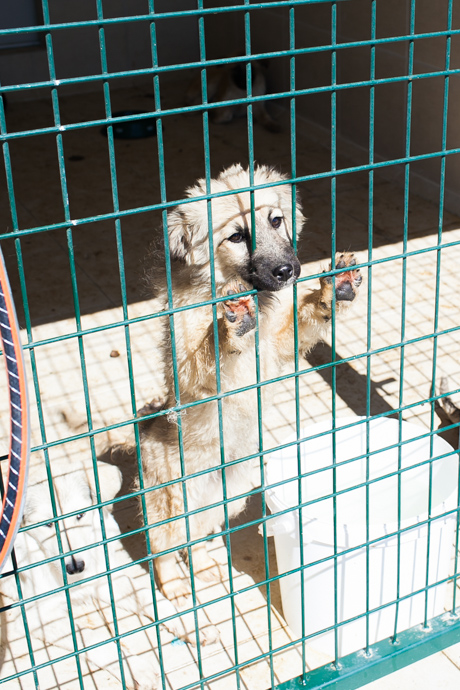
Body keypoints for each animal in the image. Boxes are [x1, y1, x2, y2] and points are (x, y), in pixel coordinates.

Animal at [0, 468, 217, 690]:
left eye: (80, 515)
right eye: (48, 524)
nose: (76, 567)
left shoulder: (105, 581)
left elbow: (149, 597)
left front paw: (192, 623)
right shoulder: (36, 618)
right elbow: (90, 639)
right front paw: (134, 668)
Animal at [138, 163, 362, 602]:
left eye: (276, 221)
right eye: (237, 237)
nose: (288, 271)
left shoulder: (280, 344)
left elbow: (306, 318)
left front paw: (333, 289)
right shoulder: (189, 366)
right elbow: (210, 354)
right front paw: (231, 328)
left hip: (226, 498)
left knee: (196, 538)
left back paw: (205, 567)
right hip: (173, 501)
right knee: (164, 548)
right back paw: (174, 589)